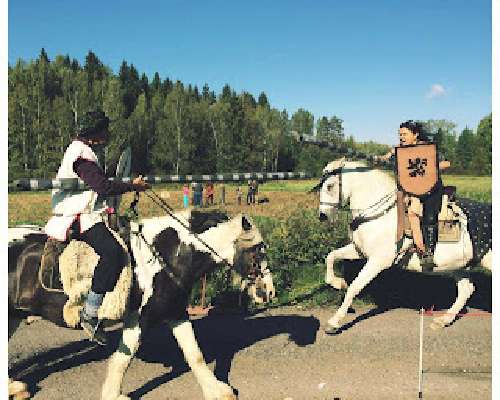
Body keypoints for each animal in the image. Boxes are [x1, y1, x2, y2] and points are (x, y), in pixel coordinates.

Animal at [8, 211, 274, 398]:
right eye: (258, 250)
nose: (269, 291)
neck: (163, 256)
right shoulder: (139, 317)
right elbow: (122, 359)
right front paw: (113, 395)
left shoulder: (175, 311)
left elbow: (194, 353)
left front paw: (218, 391)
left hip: (13, 315)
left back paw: (13, 387)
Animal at [316, 158, 492, 332]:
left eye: (330, 186)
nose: (322, 216)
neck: (380, 214)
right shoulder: (360, 251)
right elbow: (331, 256)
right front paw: (337, 282)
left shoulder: (379, 261)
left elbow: (354, 286)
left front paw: (334, 322)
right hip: (459, 266)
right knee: (466, 290)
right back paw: (442, 321)